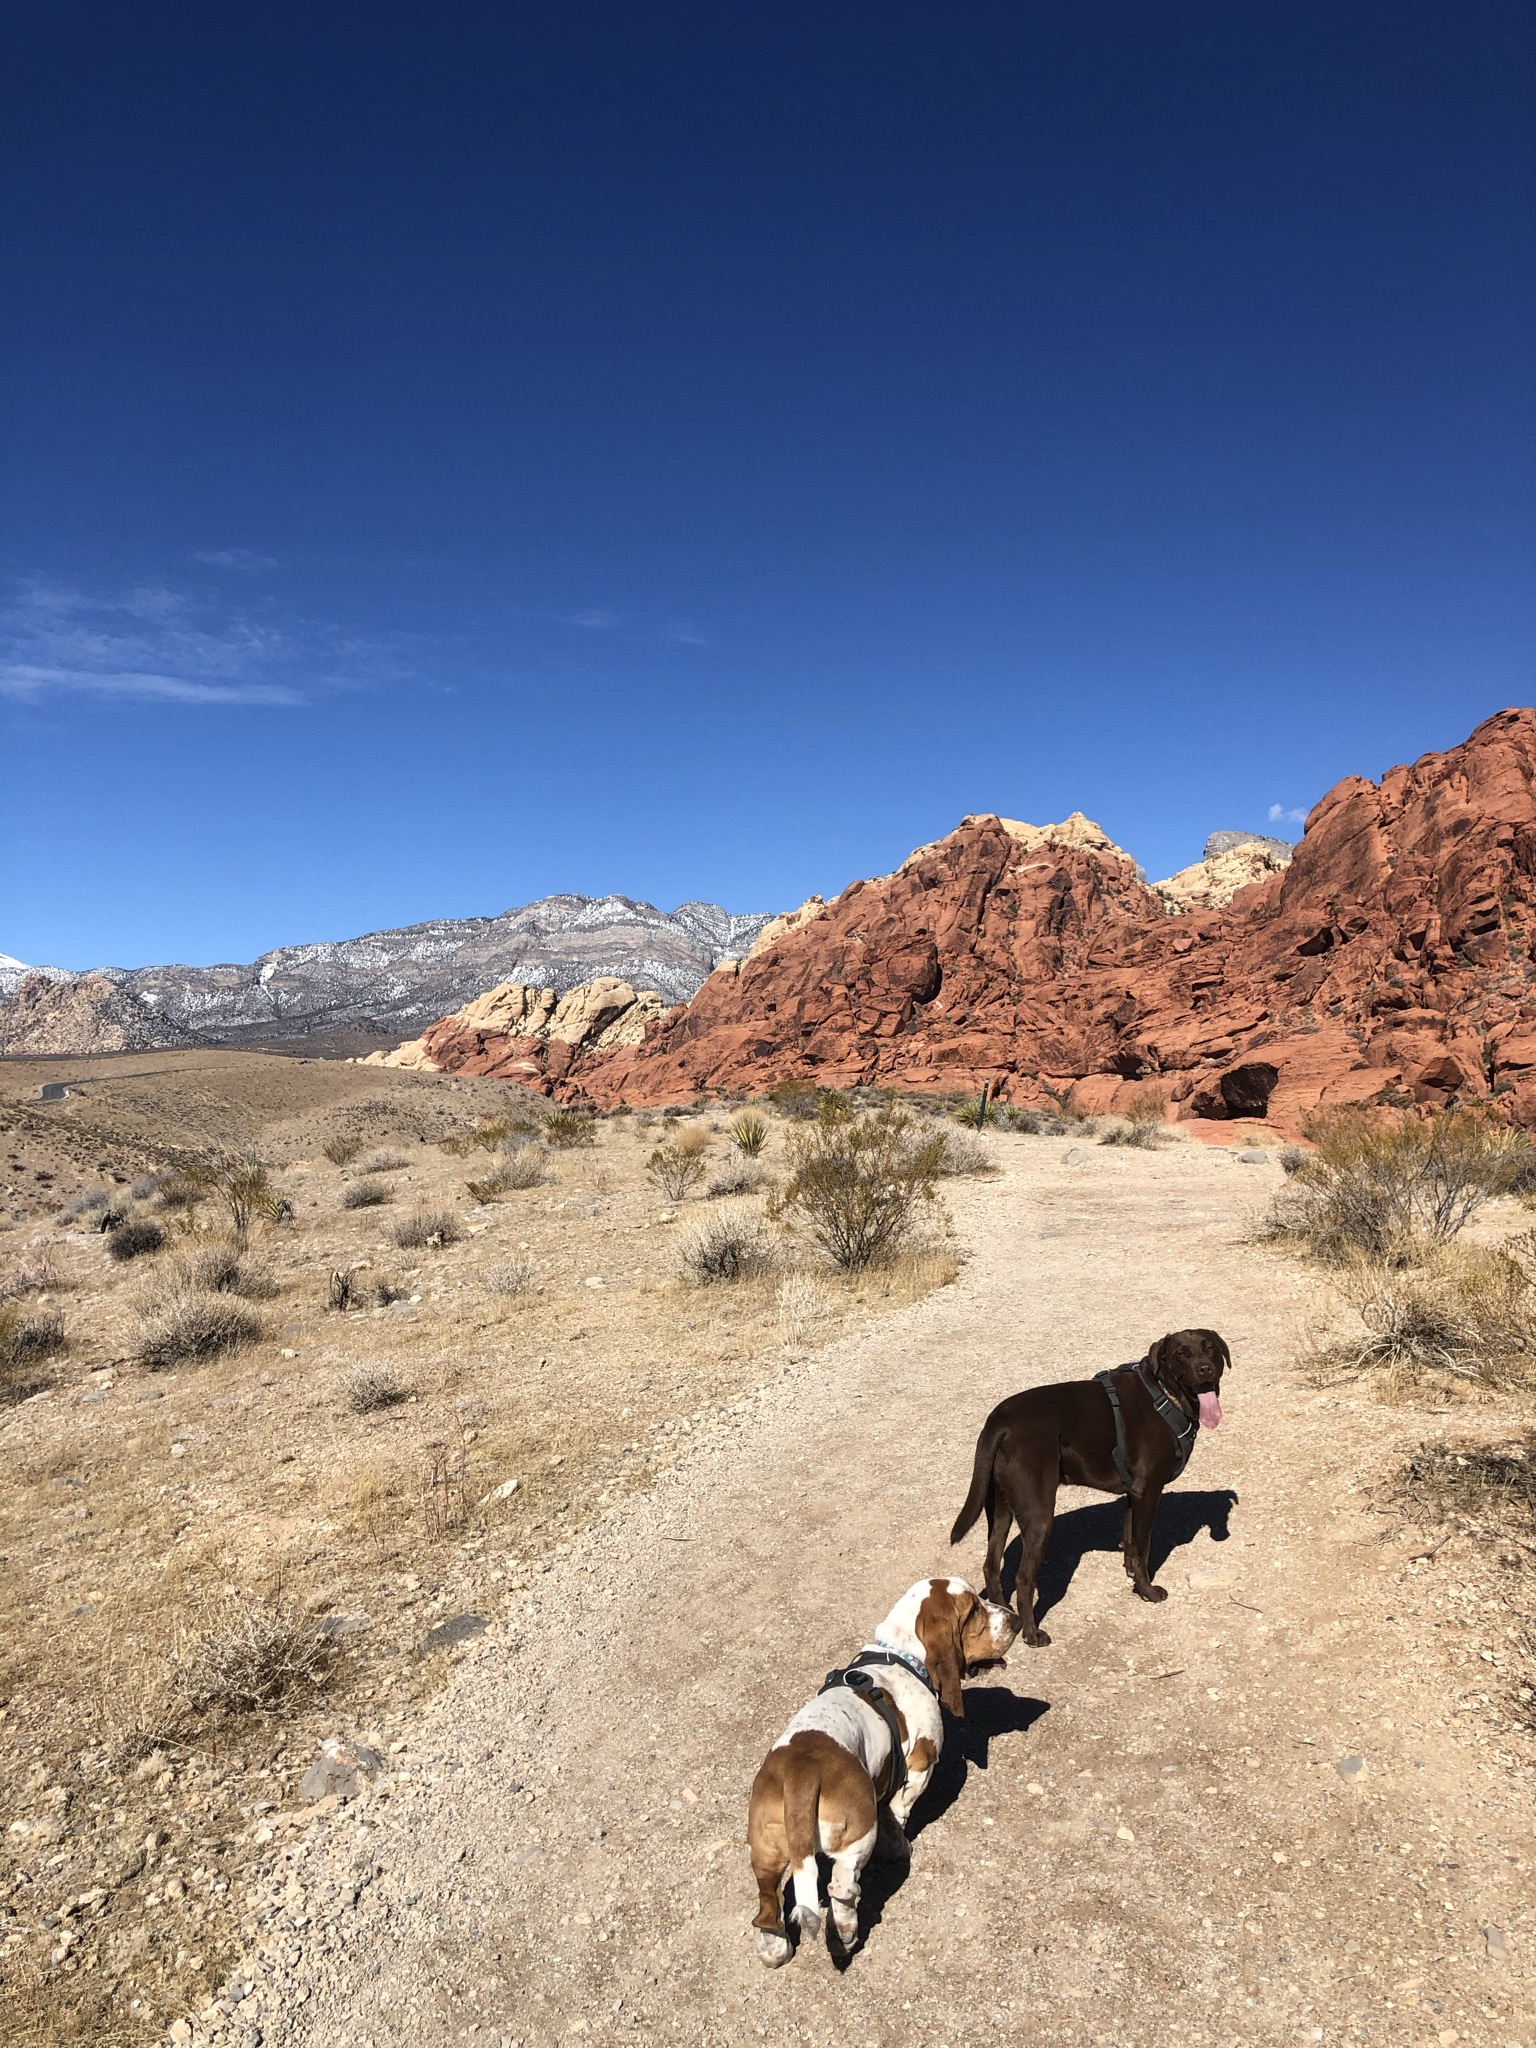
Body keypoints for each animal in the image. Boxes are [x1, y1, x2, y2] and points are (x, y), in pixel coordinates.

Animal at [749, 1572, 1024, 1957]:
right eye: (972, 1610)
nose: (1016, 1621)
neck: (902, 1653)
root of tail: (801, 1774)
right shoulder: (921, 1763)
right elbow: (898, 1814)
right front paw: (899, 1849)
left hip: (765, 1848)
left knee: (767, 1902)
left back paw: (775, 1949)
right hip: (859, 1832)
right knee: (841, 1887)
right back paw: (845, 1932)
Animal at [958, 1327, 1236, 1646]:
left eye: (1211, 1348)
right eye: (1181, 1354)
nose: (1205, 1368)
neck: (1165, 1396)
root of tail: (998, 1421)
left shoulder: (1134, 1494)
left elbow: (1130, 1541)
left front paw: (1132, 1577)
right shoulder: (1149, 1492)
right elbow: (1143, 1548)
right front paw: (1148, 1592)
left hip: (1000, 1509)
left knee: (991, 1566)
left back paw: (1005, 1620)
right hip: (1038, 1515)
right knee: (1024, 1578)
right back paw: (1031, 1633)